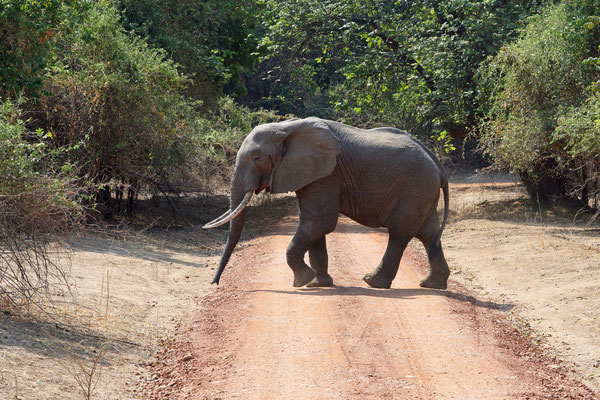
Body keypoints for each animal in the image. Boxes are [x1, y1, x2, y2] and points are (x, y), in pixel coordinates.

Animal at [204, 117, 448, 290]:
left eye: (256, 158)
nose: (214, 283)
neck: (286, 127)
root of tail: (437, 164)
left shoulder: (327, 174)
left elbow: (319, 222)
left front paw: (302, 281)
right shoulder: (311, 173)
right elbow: (314, 225)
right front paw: (317, 284)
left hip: (415, 187)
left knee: (400, 233)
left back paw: (373, 282)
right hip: (422, 190)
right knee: (429, 234)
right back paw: (432, 285)